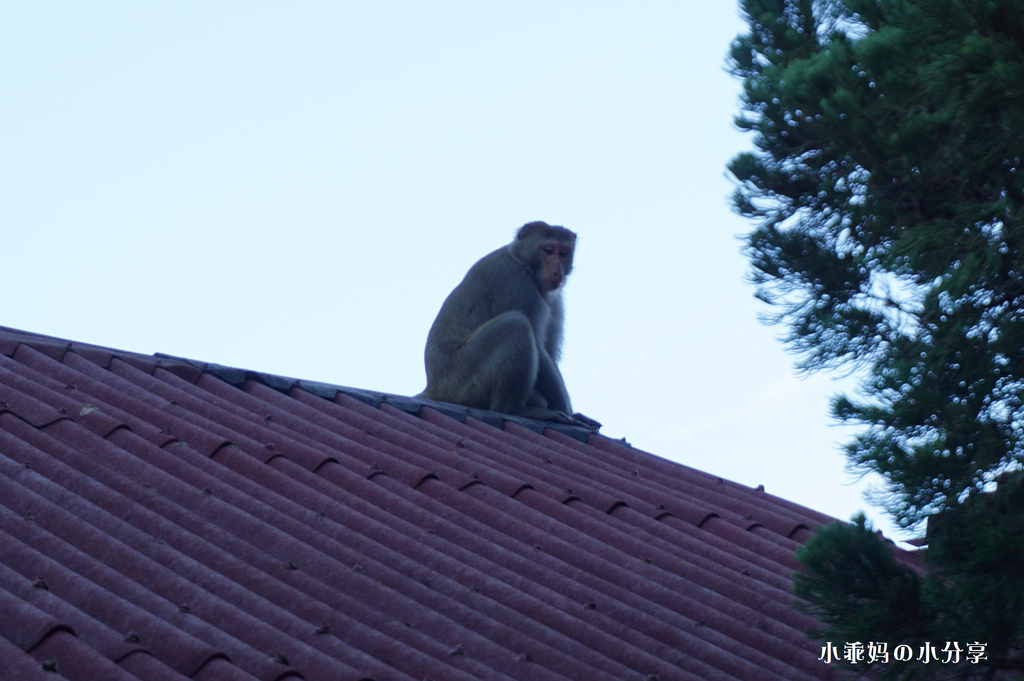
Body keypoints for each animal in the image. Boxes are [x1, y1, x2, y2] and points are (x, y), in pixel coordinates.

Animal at [417, 220, 593, 426]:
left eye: (563, 253)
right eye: (548, 250)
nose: (558, 271)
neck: (520, 261)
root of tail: (434, 387)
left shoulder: (554, 299)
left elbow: (548, 352)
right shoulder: (516, 283)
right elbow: (539, 348)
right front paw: (565, 410)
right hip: (461, 381)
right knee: (516, 324)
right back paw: (514, 409)